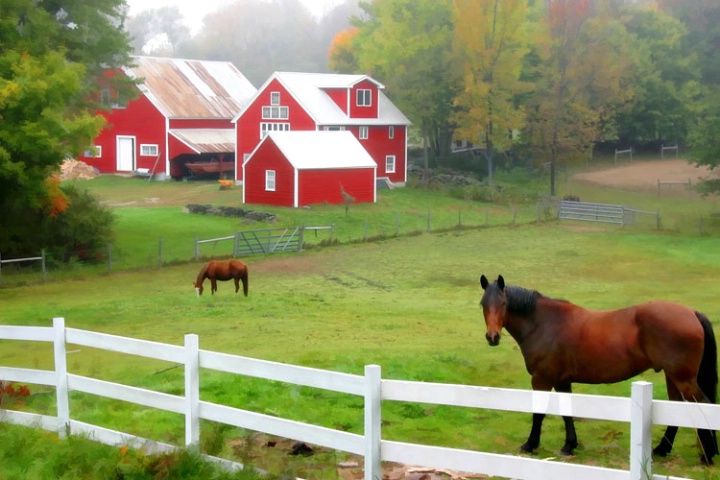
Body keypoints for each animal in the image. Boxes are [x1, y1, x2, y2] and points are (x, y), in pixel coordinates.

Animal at [478, 274, 716, 464]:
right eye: (483, 304)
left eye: (503, 303)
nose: (492, 337)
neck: (544, 323)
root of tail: (692, 312)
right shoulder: (562, 381)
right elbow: (567, 413)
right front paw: (569, 446)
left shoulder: (542, 379)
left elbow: (538, 413)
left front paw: (530, 445)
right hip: (673, 376)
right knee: (678, 408)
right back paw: (663, 449)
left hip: (682, 378)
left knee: (703, 405)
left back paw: (707, 455)